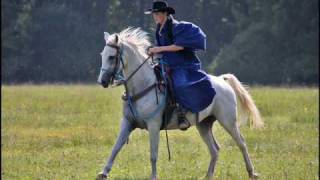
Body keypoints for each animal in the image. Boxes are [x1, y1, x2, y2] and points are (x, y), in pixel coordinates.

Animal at [96, 27, 264, 179]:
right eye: (102, 55)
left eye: (111, 57)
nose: (102, 81)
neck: (143, 85)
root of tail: (222, 80)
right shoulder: (127, 123)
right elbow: (115, 148)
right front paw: (103, 173)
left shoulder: (153, 125)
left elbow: (153, 155)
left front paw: (153, 177)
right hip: (204, 125)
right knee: (215, 149)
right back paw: (208, 175)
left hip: (228, 121)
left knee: (241, 143)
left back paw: (252, 172)